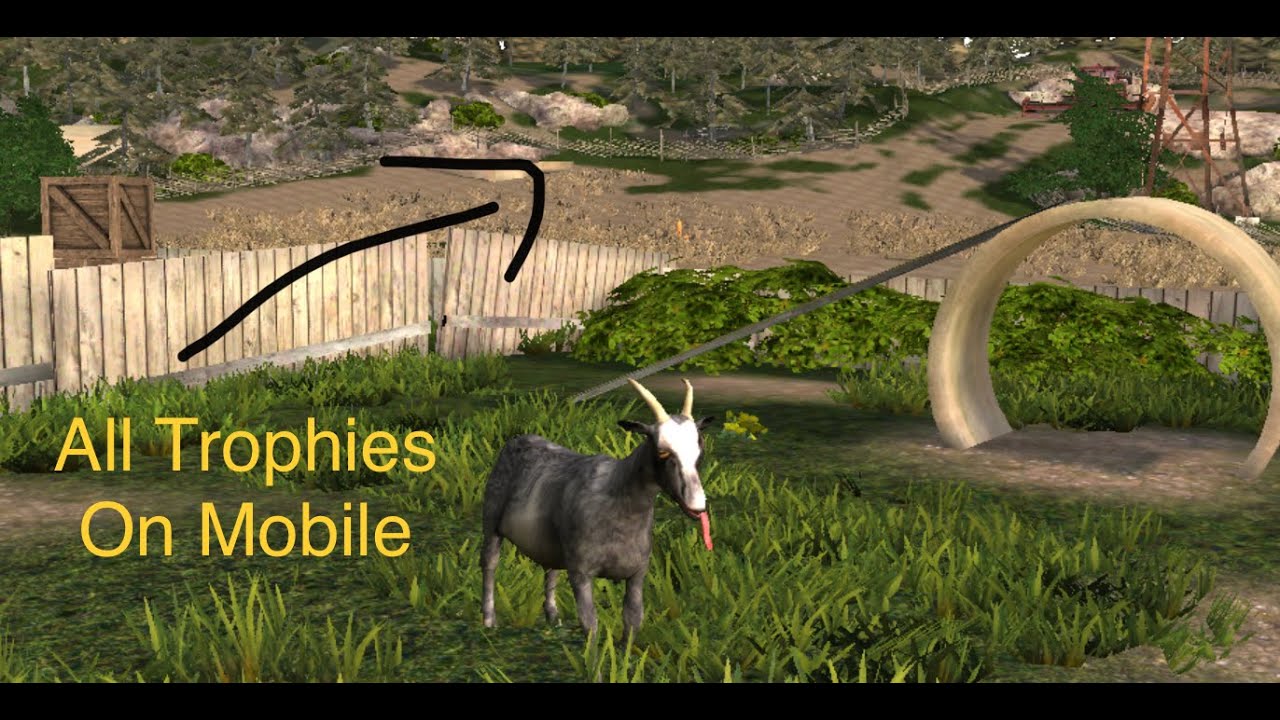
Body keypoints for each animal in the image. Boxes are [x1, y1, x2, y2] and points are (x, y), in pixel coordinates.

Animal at [480, 378, 716, 638]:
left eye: (699, 452)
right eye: (663, 451)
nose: (697, 505)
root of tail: (518, 439)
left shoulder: (637, 574)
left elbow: (633, 619)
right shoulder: (581, 572)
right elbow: (590, 624)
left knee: (551, 570)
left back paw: (553, 619)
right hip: (491, 519)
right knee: (489, 563)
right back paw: (489, 621)